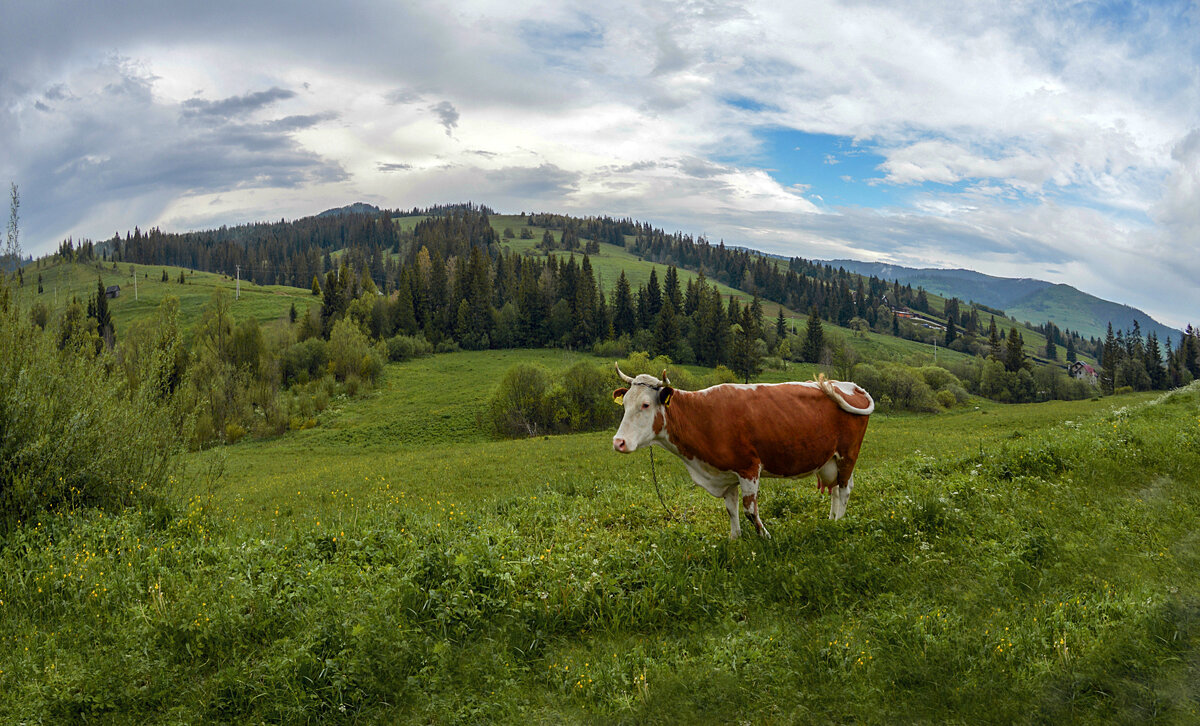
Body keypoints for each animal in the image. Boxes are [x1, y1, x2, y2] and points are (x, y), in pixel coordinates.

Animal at [614, 364, 878, 535]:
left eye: (645, 404)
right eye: (624, 403)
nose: (618, 442)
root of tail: (850, 385)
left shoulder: (749, 467)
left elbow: (751, 511)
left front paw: (767, 539)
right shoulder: (725, 473)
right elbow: (731, 510)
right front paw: (735, 540)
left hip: (847, 454)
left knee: (843, 491)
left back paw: (839, 525)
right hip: (831, 460)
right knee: (836, 490)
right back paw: (831, 521)